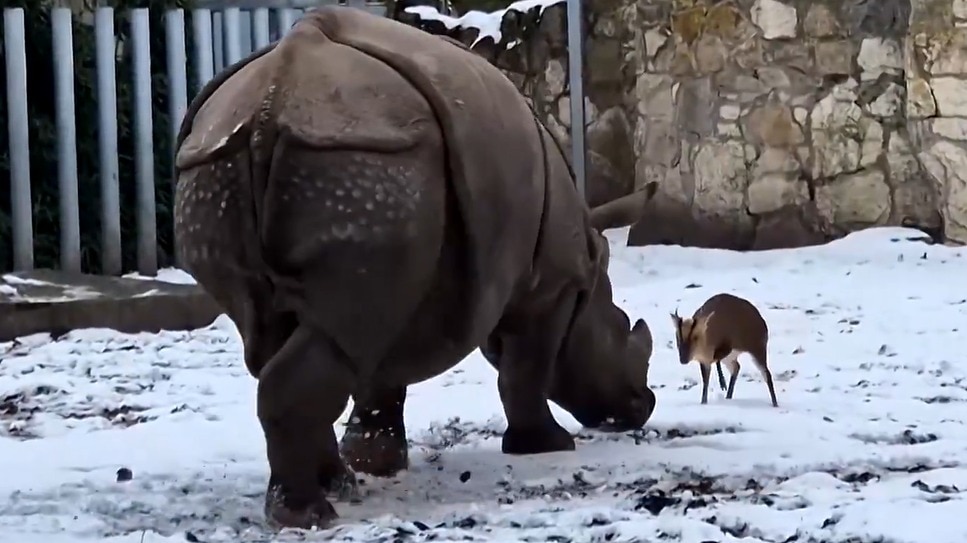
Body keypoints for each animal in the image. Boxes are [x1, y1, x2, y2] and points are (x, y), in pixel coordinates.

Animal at [173, 6, 657, 530]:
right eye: (621, 328)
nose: (643, 406)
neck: (588, 267)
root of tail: (273, 98)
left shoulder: (415, 275)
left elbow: (380, 375)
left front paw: (373, 462)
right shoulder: (551, 287)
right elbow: (525, 368)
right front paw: (547, 446)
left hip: (251, 167)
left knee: (294, 333)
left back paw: (335, 487)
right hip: (365, 162)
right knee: (337, 335)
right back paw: (311, 514)